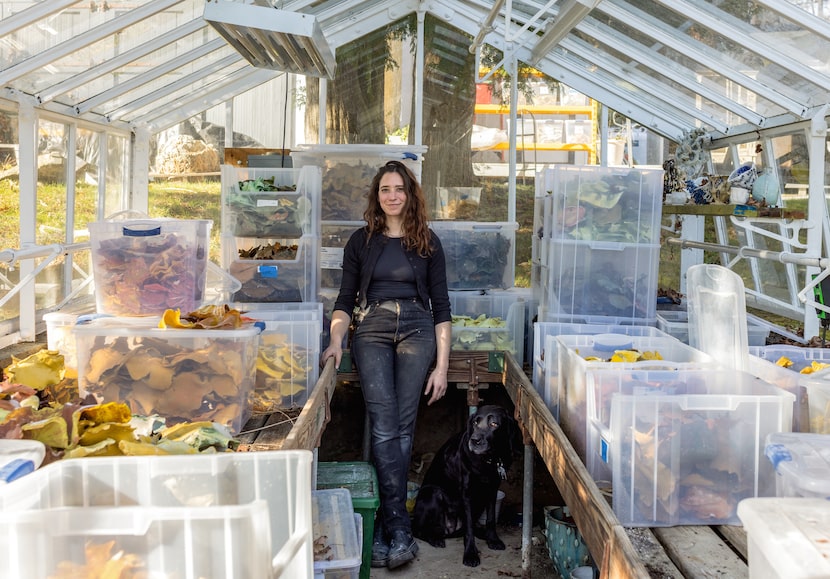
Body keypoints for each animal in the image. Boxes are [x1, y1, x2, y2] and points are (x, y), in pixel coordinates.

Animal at [412, 406, 516, 568]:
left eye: (494, 424)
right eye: (475, 422)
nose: (474, 440)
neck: (489, 460)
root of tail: (449, 529)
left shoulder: (492, 489)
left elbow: (491, 519)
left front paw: (493, 539)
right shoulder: (467, 493)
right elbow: (469, 528)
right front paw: (470, 553)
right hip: (432, 493)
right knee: (418, 530)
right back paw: (435, 539)